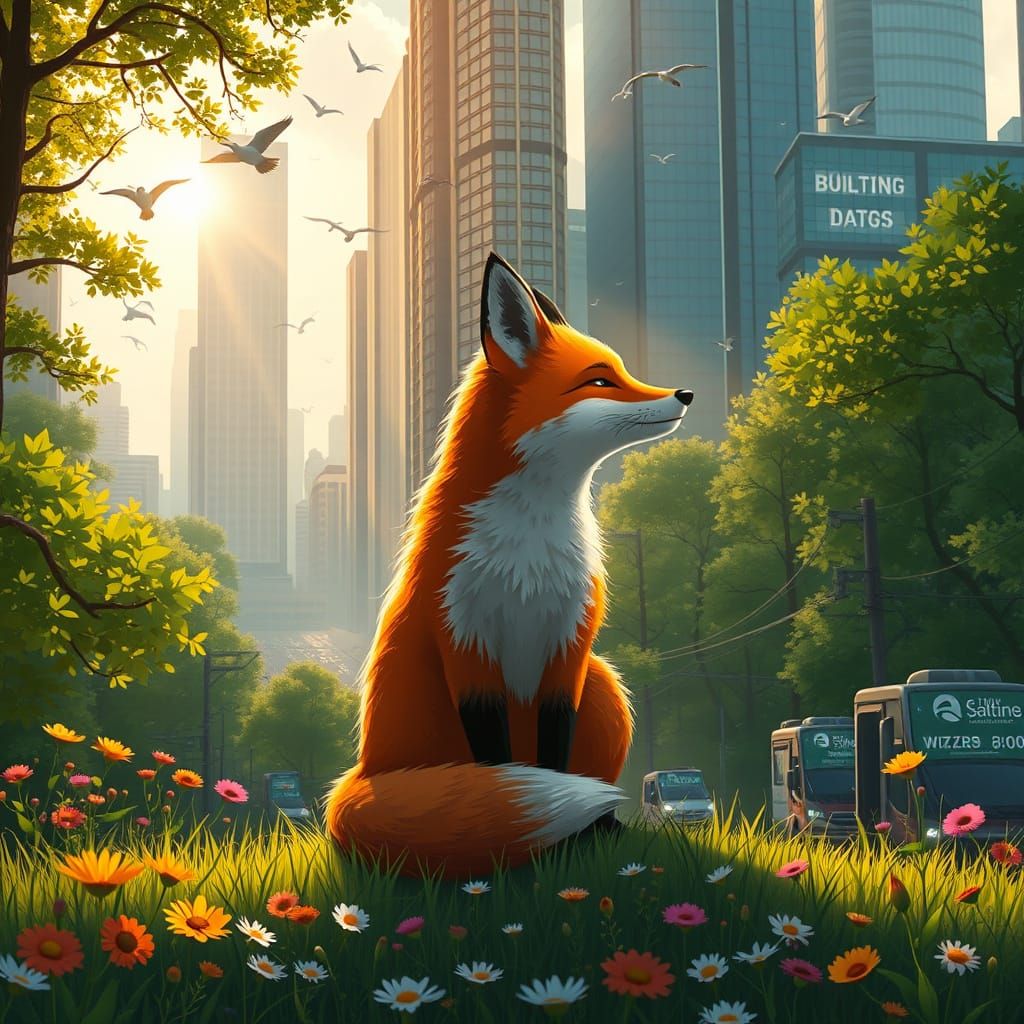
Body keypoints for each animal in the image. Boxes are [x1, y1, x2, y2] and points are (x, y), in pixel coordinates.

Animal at [325, 252, 693, 878]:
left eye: (623, 370)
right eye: (600, 379)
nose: (685, 393)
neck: (529, 554)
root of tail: (363, 771)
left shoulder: (568, 649)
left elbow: (555, 754)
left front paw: (576, 839)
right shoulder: (466, 644)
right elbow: (499, 767)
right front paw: (522, 843)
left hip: (603, 679)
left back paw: (599, 827)